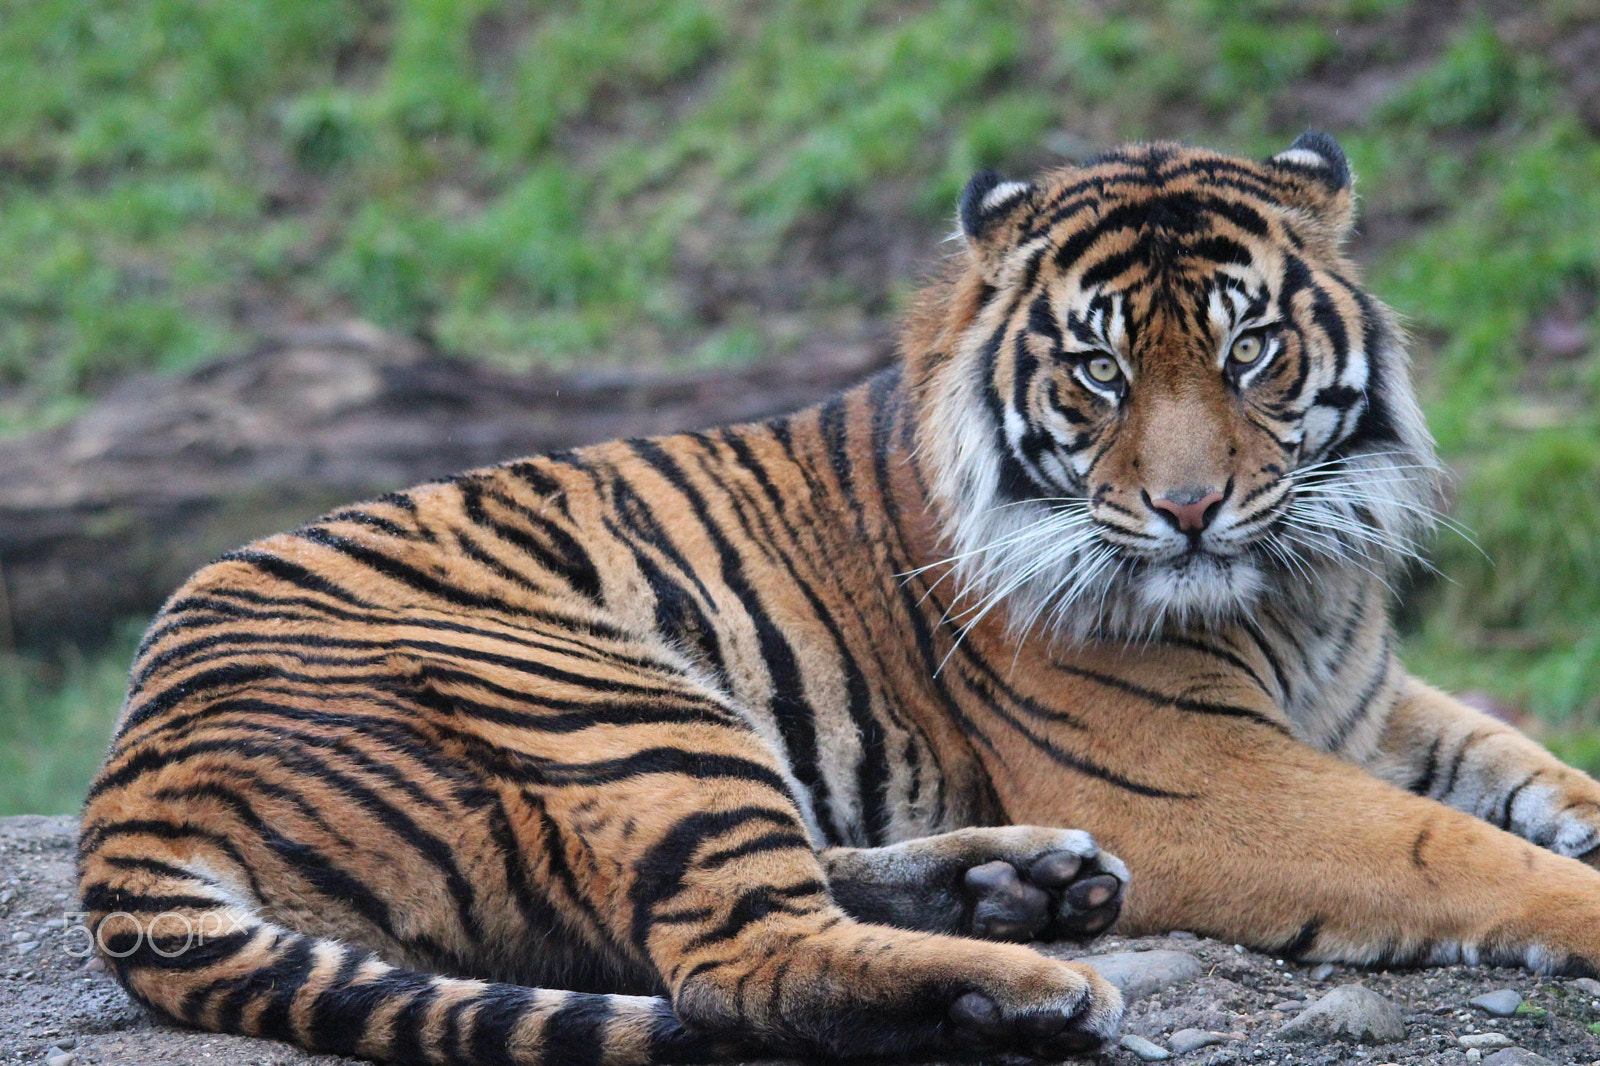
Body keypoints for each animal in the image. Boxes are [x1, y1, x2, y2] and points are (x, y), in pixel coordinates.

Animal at [79, 132, 1600, 1066]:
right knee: (732, 955)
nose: (1189, 509)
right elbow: (1450, 852)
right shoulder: (1198, 779)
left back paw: (1020, 882)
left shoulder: (1368, 701)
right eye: (1100, 372)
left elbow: (1528, 768)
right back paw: (1026, 984)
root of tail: (131, 769)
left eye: (1249, 349)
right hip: (610, 695)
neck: (1290, 588)